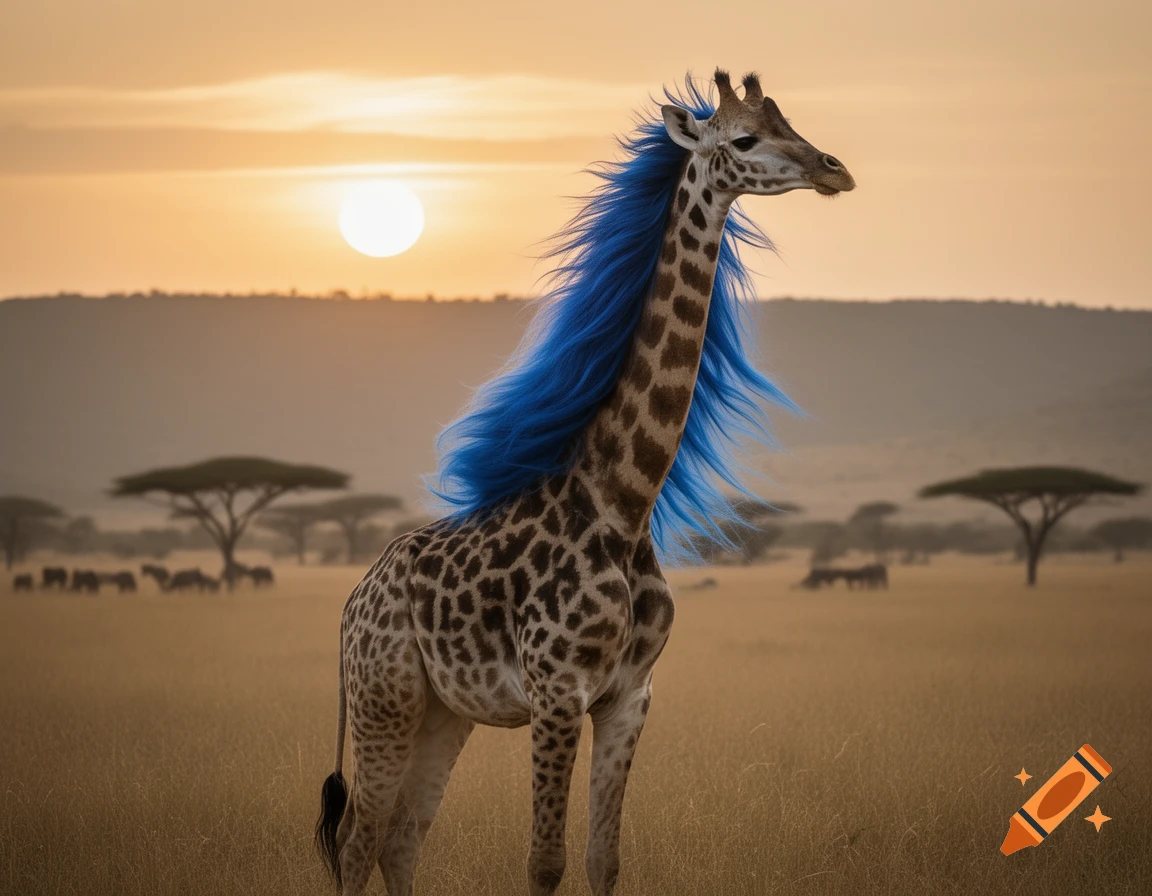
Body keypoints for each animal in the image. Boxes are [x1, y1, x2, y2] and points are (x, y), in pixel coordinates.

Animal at [315, 69, 854, 896]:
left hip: (443, 712)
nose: (834, 169)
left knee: (400, 838)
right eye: (744, 138)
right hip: (385, 698)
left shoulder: (630, 696)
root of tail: (352, 602)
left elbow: (604, 859)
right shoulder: (556, 692)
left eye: (791, 123)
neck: (625, 500)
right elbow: (546, 862)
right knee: (356, 839)